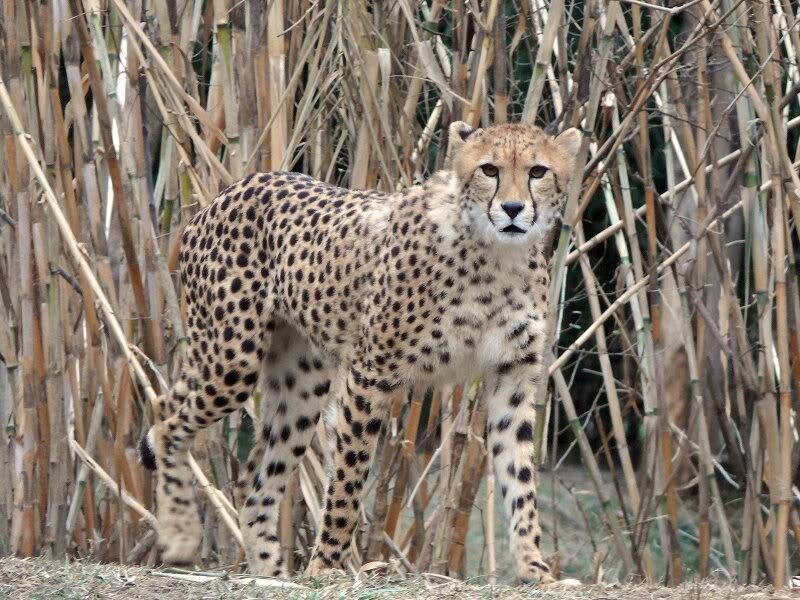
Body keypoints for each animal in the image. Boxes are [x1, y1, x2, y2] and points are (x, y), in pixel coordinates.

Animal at [139, 120, 582, 584]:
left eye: (537, 171)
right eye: (489, 169)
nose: (513, 209)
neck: (497, 255)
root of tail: (227, 192)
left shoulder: (512, 377)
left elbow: (520, 478)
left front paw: (536, 569)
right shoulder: (371, 373)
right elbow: (348, 477)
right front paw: (326, 565)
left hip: (302, 385)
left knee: (249, 483)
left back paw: (271, 575)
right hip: (233, 361)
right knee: (167, 424)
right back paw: (181, 534)